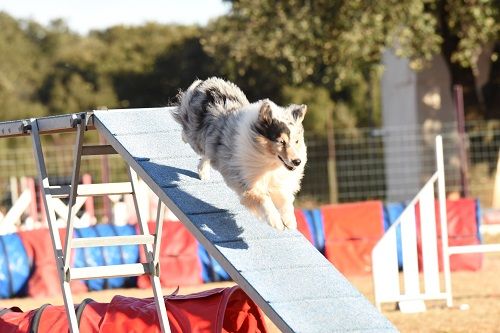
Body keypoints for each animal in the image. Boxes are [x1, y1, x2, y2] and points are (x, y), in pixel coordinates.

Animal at [172, 77, 306, 230]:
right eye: (281, 142)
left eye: (296, 141)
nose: (297, 161)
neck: (269, 162)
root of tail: (207, 82)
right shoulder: (247, 182)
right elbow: (264, 199)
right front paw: (276, 222)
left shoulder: (277, 181)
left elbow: (285, 200)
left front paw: (290, 221)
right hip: (196, 135)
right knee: (189, 135)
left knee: (207, 154)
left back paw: (203, 173)